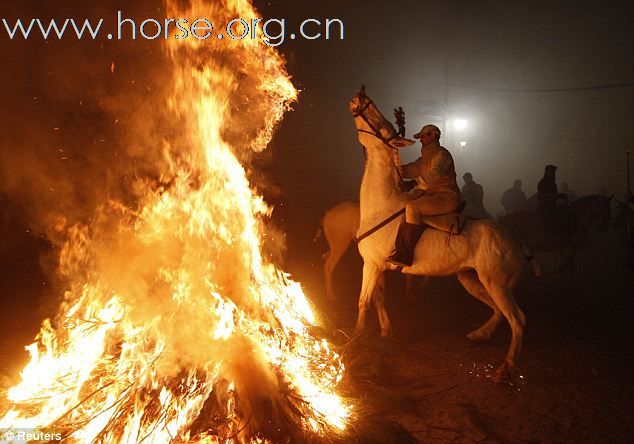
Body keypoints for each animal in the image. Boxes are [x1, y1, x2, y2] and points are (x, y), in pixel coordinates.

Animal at [348, 89, 524, 382]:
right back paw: (479, 335)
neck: (382, 203)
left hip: (497, 285)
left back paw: (505, 369)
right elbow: (378, 299)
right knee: (498, 312)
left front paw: (355, 339)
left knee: (517, 321)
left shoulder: (370, 265)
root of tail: (516, 243)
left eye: (381, 123)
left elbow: (363, 301)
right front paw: (386, 331)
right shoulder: (379, 266)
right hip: (472, 280)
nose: (360, 96)